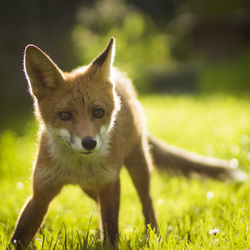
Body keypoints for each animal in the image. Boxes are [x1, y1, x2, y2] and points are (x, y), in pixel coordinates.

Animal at [10, 37, 246, 250]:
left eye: (98, 112)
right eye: (65, 115)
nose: (89, 143)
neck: (78, 168)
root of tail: (118, 76)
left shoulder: (110, 183)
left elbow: (111, 228)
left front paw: (110, 242)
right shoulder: (41, 192)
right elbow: (19, 235)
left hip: (139, 165)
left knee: (147, 204)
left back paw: (154, 237)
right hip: (91, 188)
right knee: (100, 208)